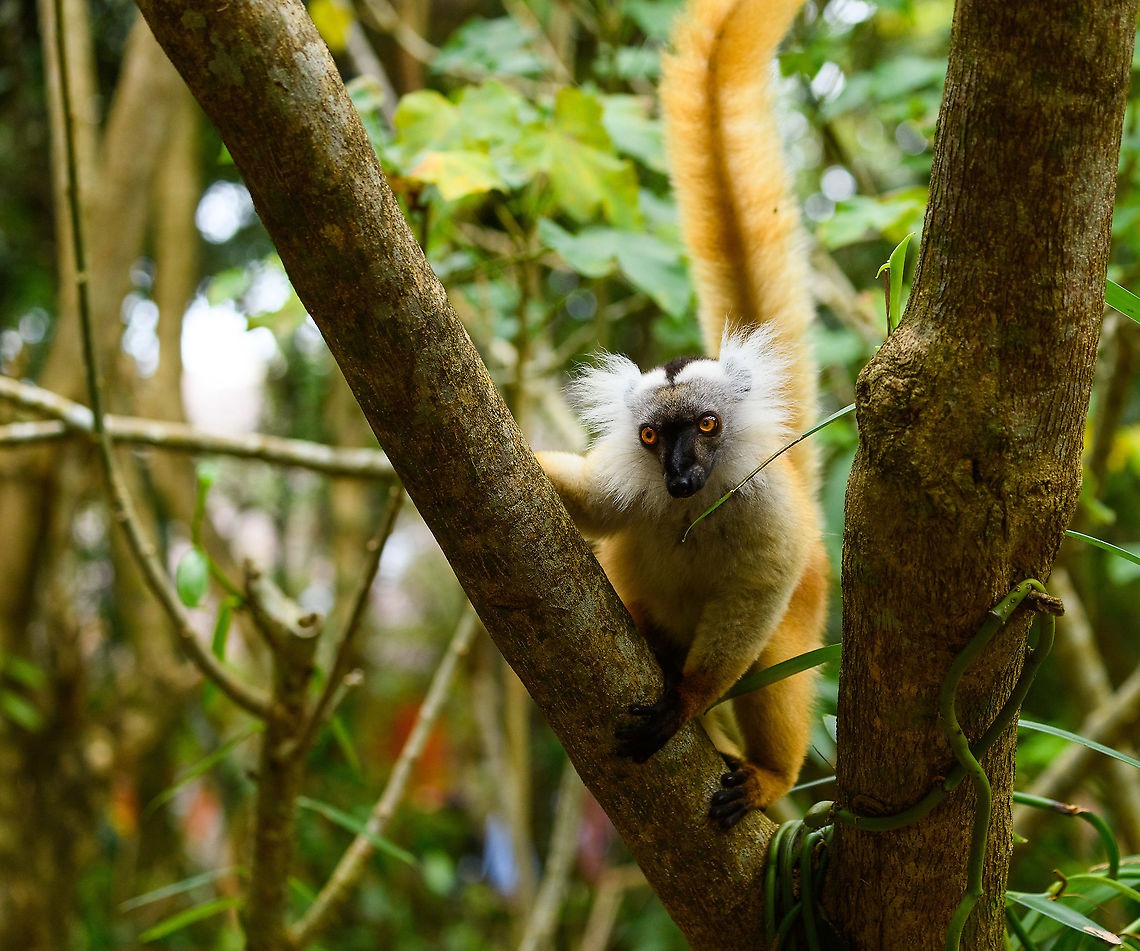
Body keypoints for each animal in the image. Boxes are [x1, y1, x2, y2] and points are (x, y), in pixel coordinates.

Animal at [536, 0, 827, 827]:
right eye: (651, 435)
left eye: (704, 426)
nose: (681, 472)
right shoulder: (623, 480)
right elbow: (588, 503)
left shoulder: (766, 508)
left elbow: (761, 589)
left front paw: (689, 697)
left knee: (774, 661)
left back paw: (768, 774)